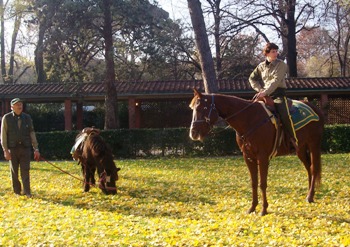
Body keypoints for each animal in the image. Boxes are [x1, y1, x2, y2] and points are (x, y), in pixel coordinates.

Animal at [190, 89, 324, 216]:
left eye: (202, 108)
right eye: (193, 108)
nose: (193, 133)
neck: (249, 119)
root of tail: (315, 109)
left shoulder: (263, 157)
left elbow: (262, 183)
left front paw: (264, 209)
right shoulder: (248, 157)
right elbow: (254, 183)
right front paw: (252, 208)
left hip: (313, 145)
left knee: (314, 169)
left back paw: (310, 196)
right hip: (300, 149)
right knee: (309, 168)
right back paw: (310, 194)